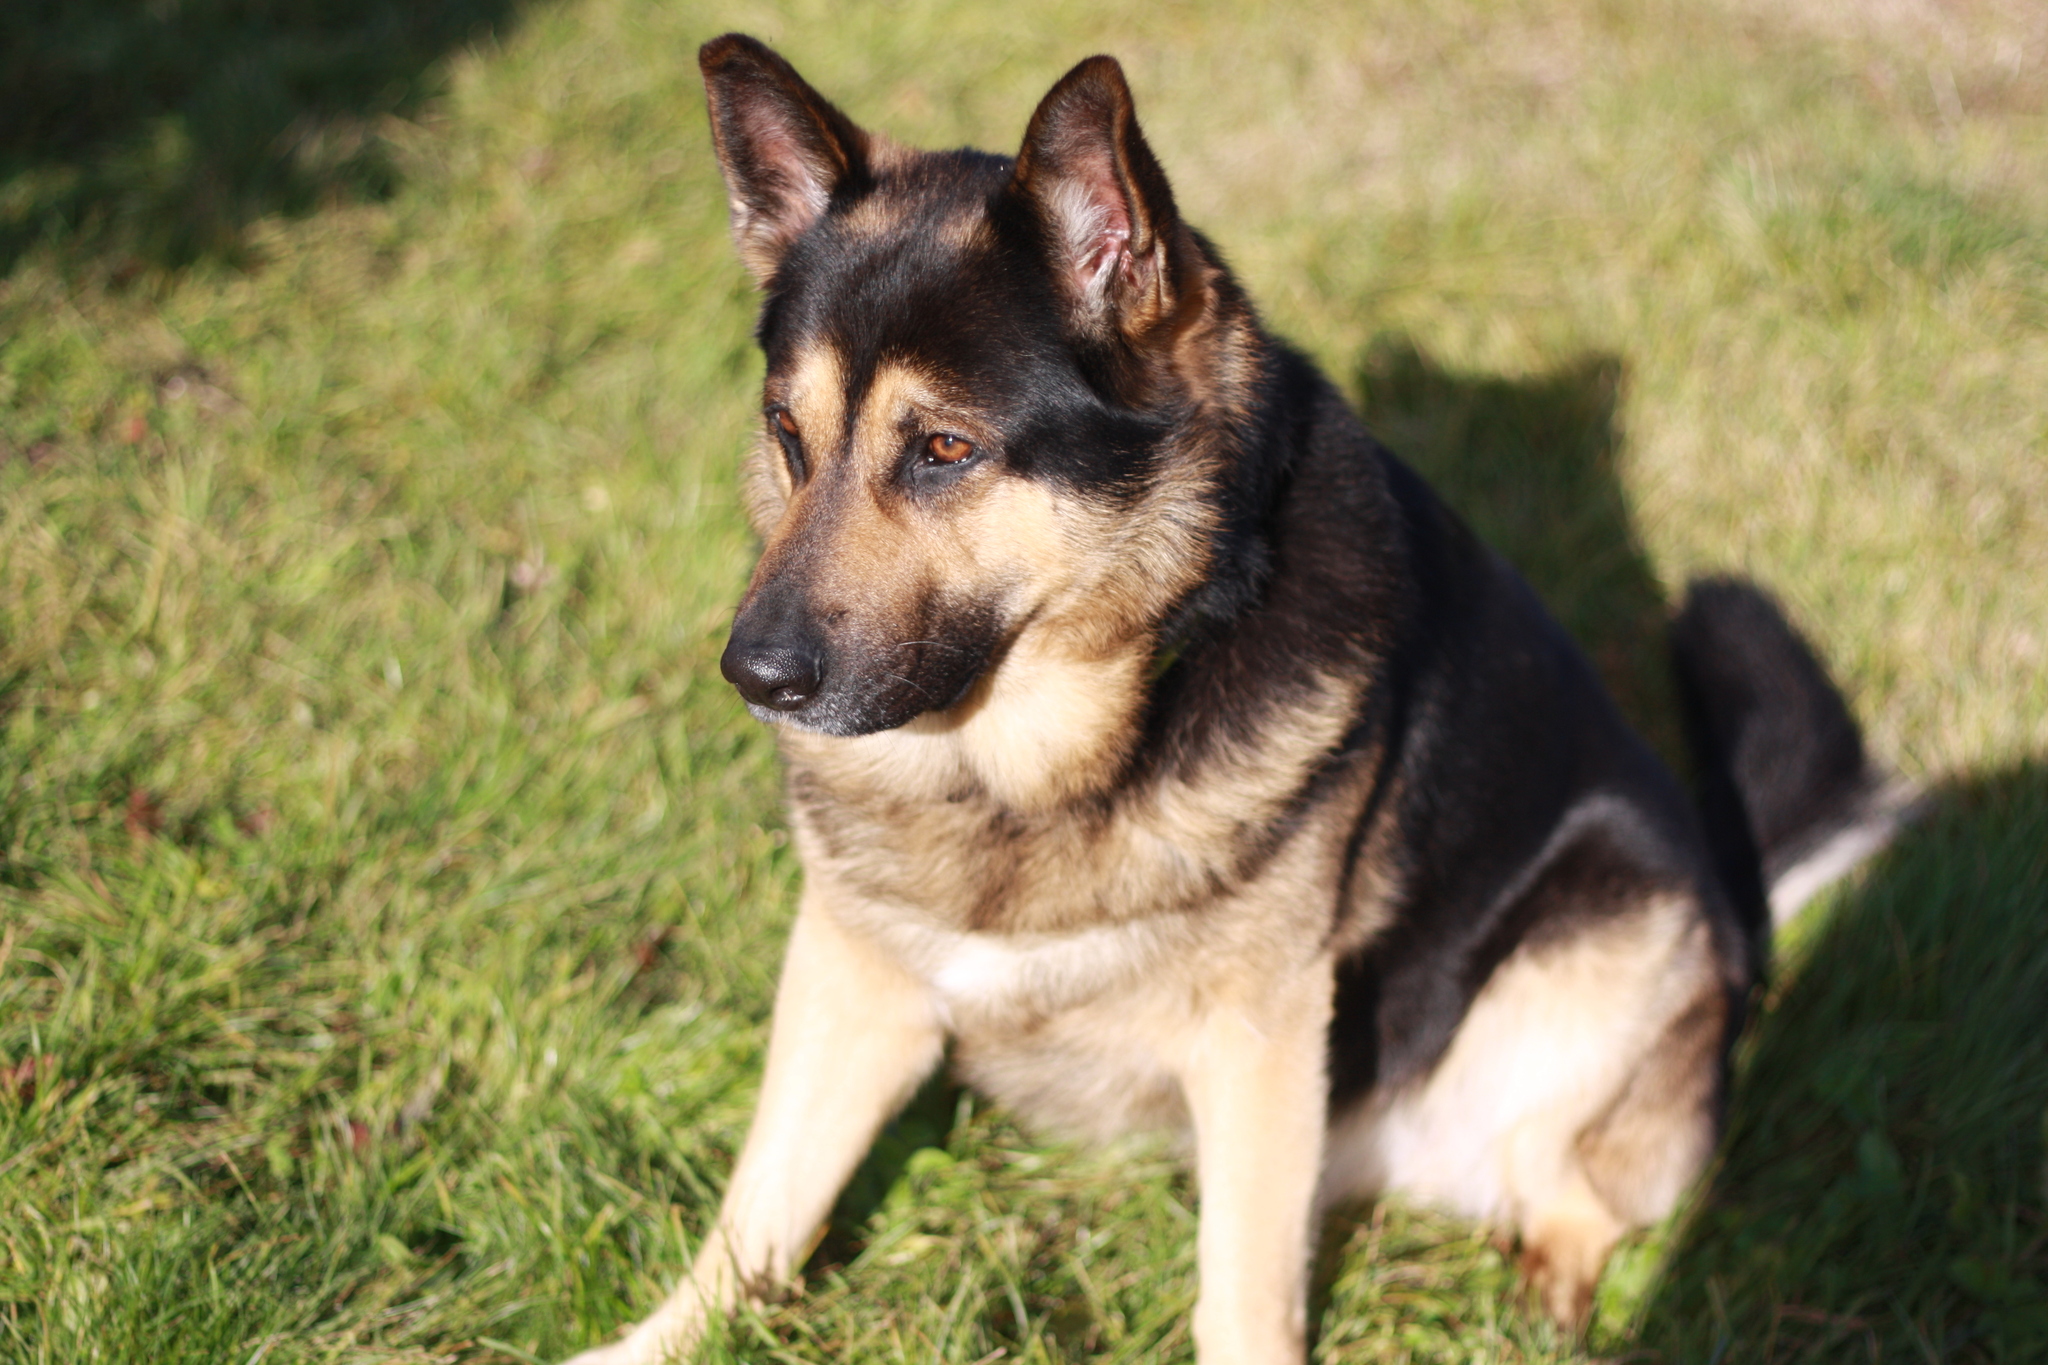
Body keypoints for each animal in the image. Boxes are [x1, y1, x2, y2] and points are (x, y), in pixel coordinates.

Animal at [562, 35, 1912, 1363]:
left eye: (943, 450)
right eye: (787, 434)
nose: (752, 676)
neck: (1035, 768)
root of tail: (1737, 913)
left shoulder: (1257, 1036)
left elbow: (1242, 1296)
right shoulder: (848, 976)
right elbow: (764, 1207)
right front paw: (656, 1340)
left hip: (1604, 931)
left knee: (1574, 1194)